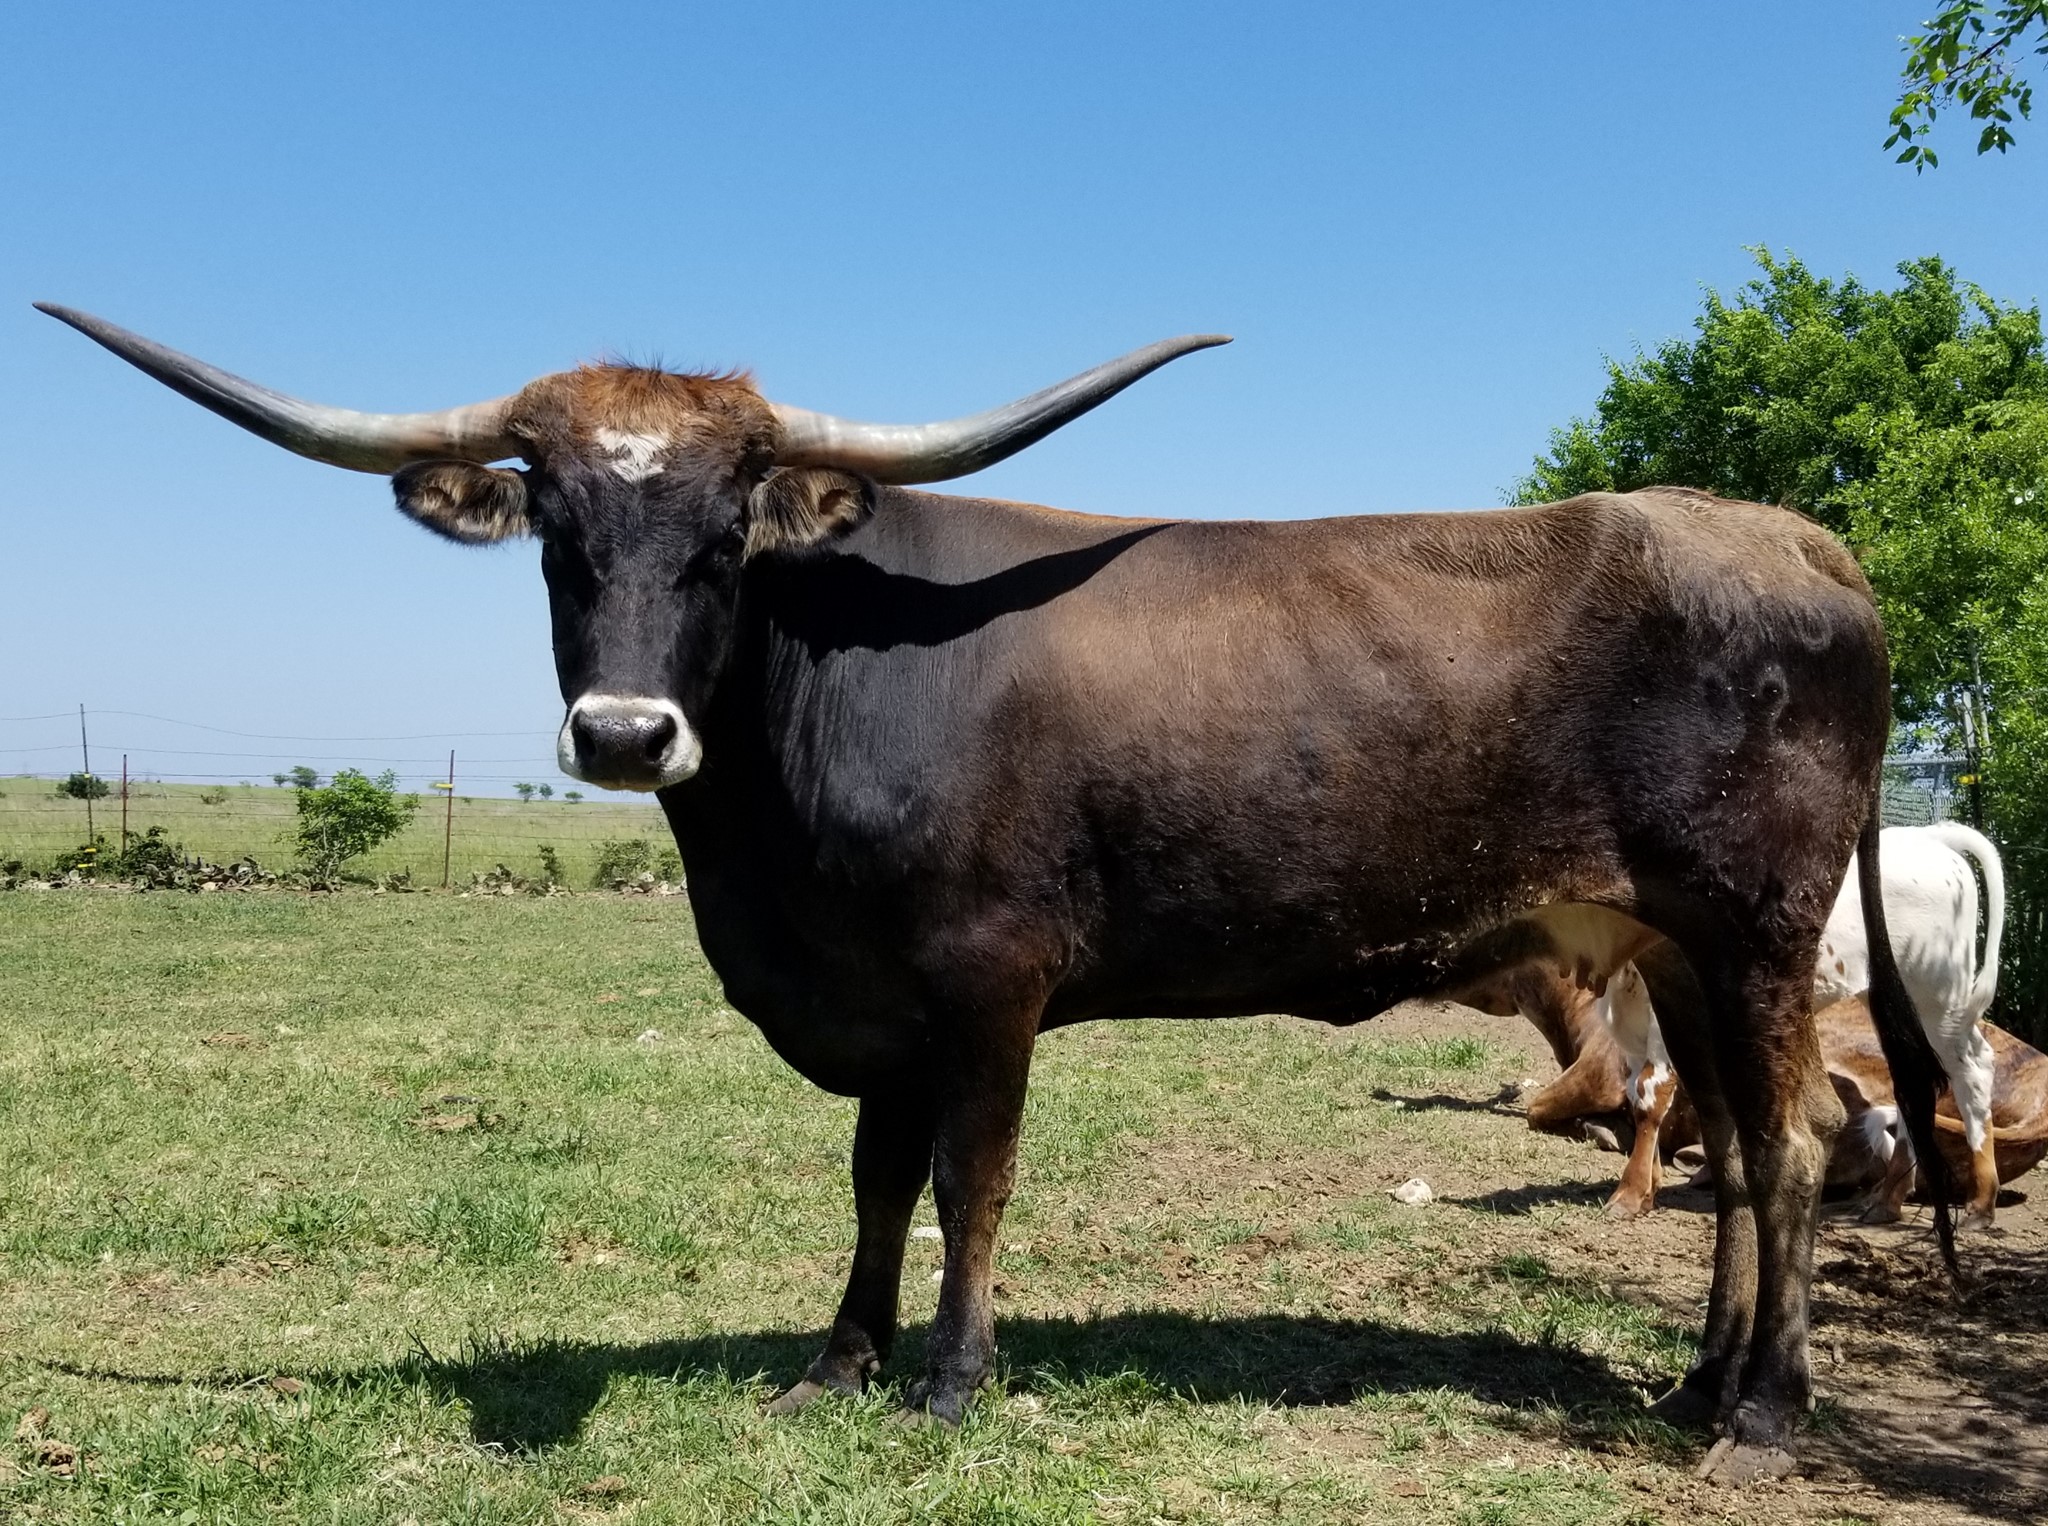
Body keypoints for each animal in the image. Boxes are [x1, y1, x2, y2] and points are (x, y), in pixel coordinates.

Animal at [38, 303, 1952, 1486]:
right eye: (557, 535)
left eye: (728, 536)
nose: (624, 730)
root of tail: (1792, 538)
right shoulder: (875, 996)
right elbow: (876, 1179)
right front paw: (838, 1359)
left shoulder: (988, 978)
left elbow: (971, 1180)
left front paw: (953, 1381)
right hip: (1673, 946)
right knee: (1726, 1151)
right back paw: (1698, 1382)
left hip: (1756, 926)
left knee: (1789, 1148)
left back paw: (1765, 1418)